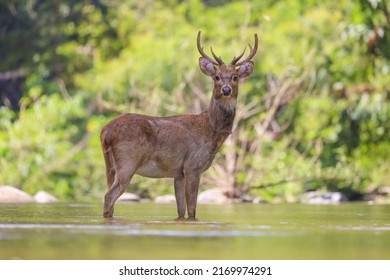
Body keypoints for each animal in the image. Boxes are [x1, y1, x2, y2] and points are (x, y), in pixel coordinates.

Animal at [101, 30, 258, 219]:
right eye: (217, 77)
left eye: (235, 77)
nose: (226, 90)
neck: (211, 131)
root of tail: (106, 131)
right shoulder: (193, 165)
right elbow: (192, 210)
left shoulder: (178, 173)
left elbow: (181, 210)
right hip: (128, 162)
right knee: (108, 197)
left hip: (110, 166)